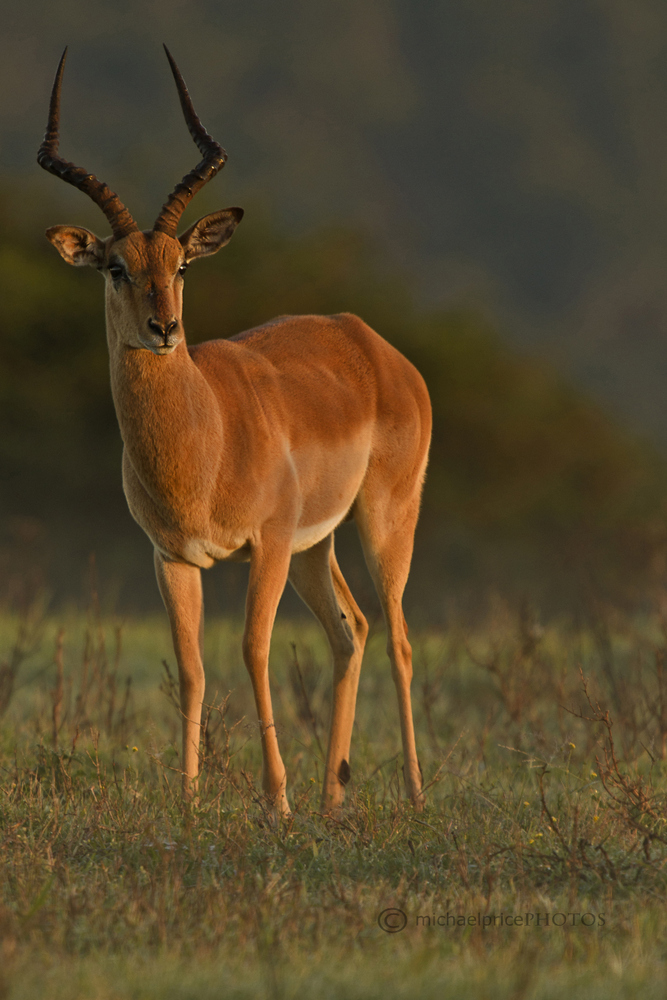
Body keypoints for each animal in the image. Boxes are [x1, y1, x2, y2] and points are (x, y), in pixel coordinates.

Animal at [38, 47, 431, 816]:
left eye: (182, 264)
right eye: (116, 267)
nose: (163, 329)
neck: (206, 436)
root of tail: (372, 343)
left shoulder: (265, 544)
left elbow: (252, 649)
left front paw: (274, 801)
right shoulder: (172, 558)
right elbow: (191, 666)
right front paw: (189, 800)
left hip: (381, 520)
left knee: (398, 639)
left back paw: (412, 795)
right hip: (317, 544)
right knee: (352, 631)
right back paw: (332, 798)